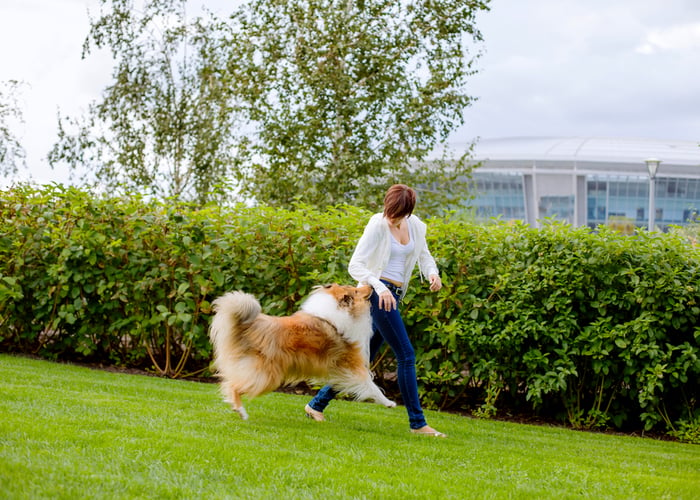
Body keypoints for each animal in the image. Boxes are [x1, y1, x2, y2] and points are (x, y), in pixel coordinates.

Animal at [206, 284, 394, 420]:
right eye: (356, 290)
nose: (371, 286)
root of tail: (254, 325)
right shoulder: (353, 366)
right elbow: (371, 386)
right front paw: (389, 403)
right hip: (266, 376)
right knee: (232, 385)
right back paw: (240, 411)